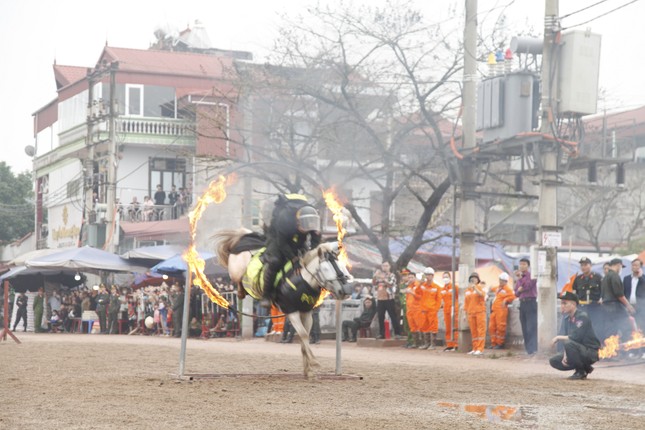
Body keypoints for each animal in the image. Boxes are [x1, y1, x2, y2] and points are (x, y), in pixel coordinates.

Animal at [214, 228, 350, 376]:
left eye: (341, 266)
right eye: (326, 268)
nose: (344, 291)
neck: (302, 280)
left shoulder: (306, 312)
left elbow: (304, 336)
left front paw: (308, 370)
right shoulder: (292, 312)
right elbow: (303, 334)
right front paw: (313, 362)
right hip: (236, 271)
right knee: (237, 278)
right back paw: (240, 291)